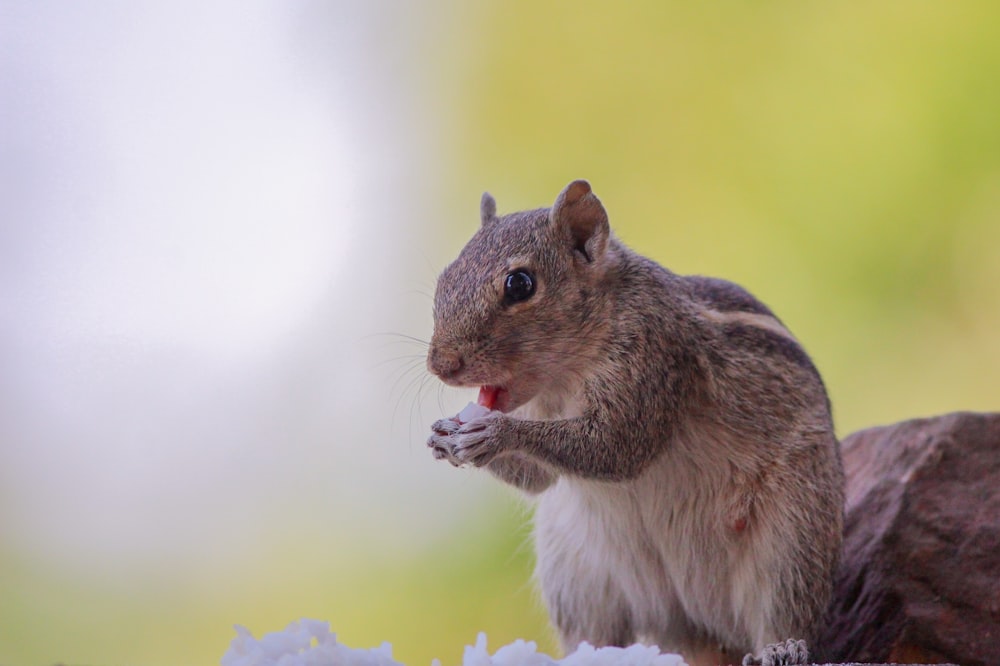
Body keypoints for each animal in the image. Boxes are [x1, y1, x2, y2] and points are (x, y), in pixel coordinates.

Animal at [422, 179, 844, 660]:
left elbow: (616, 447)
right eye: (445, 278)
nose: (441, 365)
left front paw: (496, 432)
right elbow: (539, 480)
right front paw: (442, 437)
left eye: (520, 284)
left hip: (793, 537)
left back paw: (782, 647)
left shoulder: (656, 355)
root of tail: (693, 625)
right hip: (577, 573)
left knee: (783, 610)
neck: (563, 377)